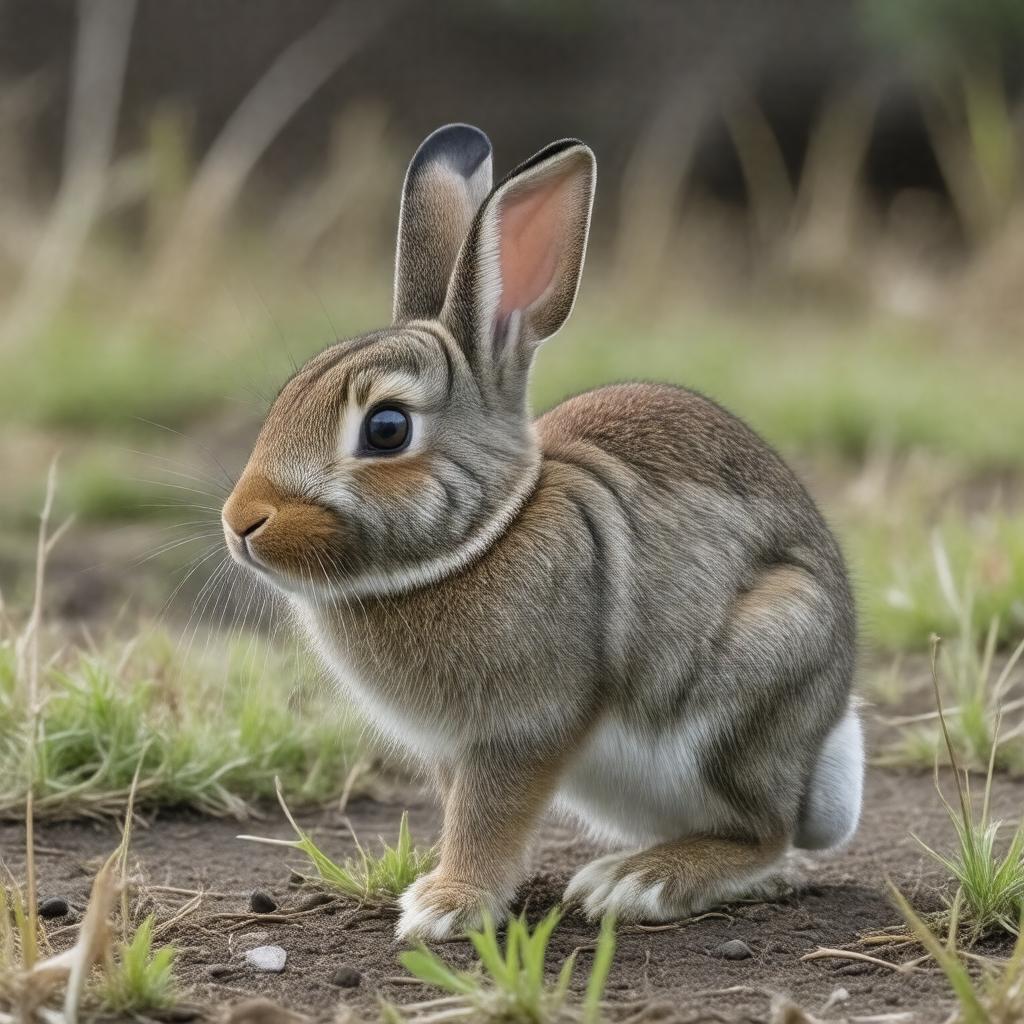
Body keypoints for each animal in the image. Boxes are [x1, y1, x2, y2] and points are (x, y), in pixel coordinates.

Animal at [221, 123, 864, 941]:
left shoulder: (524, 727)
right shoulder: (451, 749)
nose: (241, 522)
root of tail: (819, 762)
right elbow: (466, 813)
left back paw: (638, 882)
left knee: (764, 834)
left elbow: (487, 817)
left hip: (755, 684)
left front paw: (444, 907)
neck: (483, 536)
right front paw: (449, 891)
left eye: (387, 429)